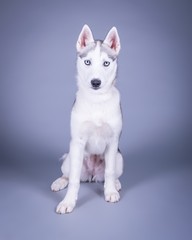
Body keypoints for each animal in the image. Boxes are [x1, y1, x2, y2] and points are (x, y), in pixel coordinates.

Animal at [51, 24, 123, 213]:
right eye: (87, 62)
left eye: (106, 63)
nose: (95, 82)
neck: (96, 100)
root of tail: (91, 175)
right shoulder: (77, 142)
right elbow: (74, 180)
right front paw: (68, 202)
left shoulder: (113, 141)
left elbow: (109, 172)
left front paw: (110, 191)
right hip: (69, 158)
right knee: (68, 175)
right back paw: (59, 181)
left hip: (119, 158)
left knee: (111, 173)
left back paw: (116, 184)